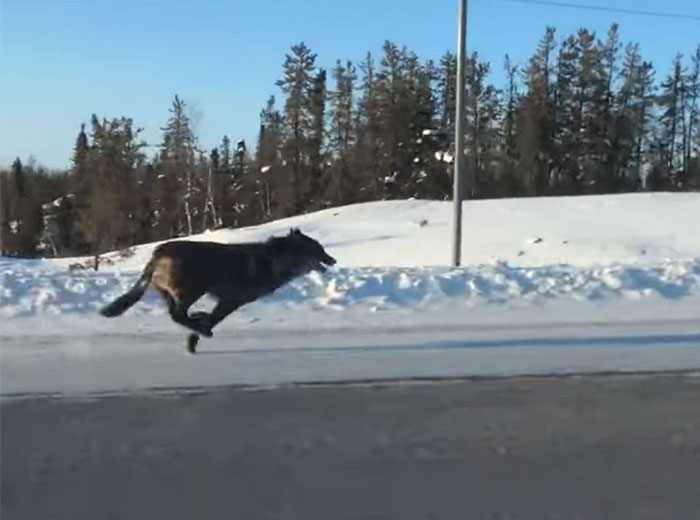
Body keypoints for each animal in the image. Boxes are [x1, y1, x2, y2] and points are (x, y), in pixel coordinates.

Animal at [99, 229, 336, 351]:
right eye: (318, 249)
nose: (333, 260)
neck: (275, 261)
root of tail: (158, 252)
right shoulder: (231, 300)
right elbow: (214, 319)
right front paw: (197, 336)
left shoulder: (227, 301)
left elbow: (210, 318)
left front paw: (197, 330)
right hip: (193, 289)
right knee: (177, 314)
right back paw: (200, 325)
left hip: (178, 292)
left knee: (177, 314)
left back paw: (197, 320)